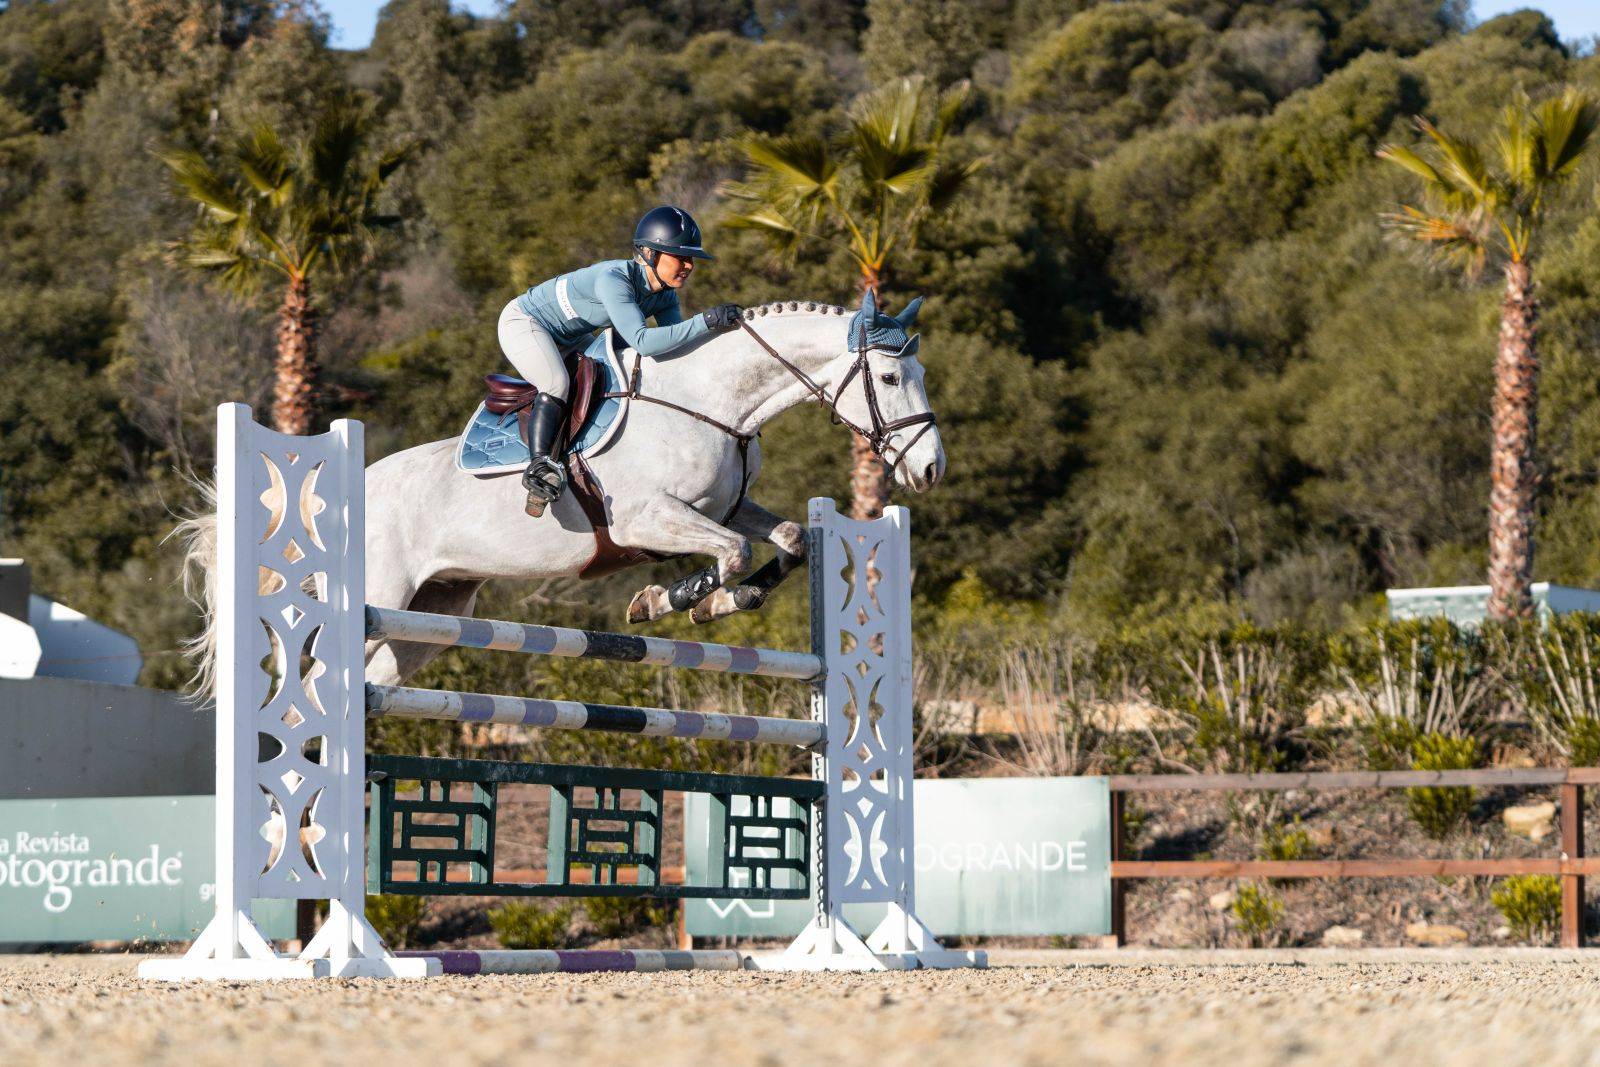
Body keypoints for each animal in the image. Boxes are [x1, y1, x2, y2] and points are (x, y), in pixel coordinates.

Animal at [181, 292, 940, 694]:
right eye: (892, 379)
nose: (930, 470)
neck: (710, 401)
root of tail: (322, 495)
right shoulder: (646, 519)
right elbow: (726, 555)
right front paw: (672, 599)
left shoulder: (721, 507)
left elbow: (785, 540)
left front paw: (721, 599)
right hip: (382, 594)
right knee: (315, 688)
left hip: (429, 613)